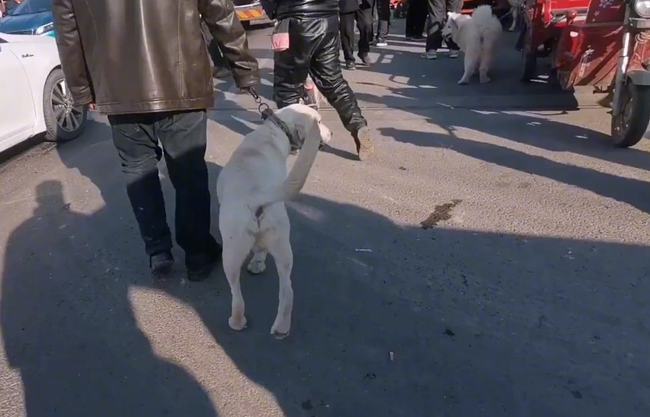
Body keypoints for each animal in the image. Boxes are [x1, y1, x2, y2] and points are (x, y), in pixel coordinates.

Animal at [217, 104, 332, 338]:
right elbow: (261, 250)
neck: (275, 129)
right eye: (319, 120)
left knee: (237, 294)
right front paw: (258, 263)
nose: (332, 132)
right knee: (287, 290)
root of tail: (257, 195)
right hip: (281, 244)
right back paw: (281, 328)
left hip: (231, 251)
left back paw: (237, 321)